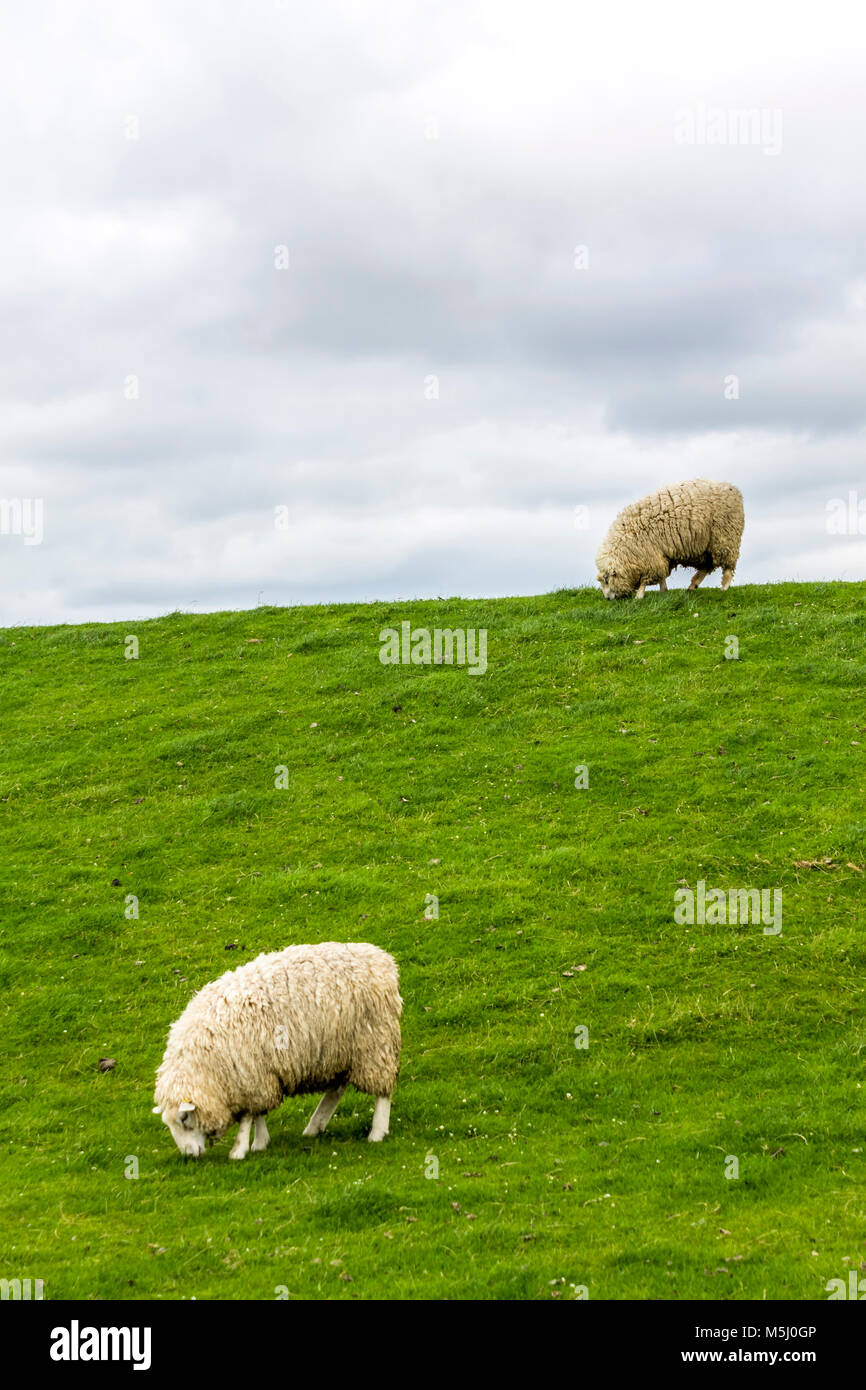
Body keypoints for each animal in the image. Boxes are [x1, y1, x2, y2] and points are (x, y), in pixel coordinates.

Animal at [152, 939, 403, 1156]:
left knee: (382, 1091)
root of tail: (383, 961)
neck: (205, 1067)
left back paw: (377, 1132)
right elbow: (258, 1114)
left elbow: (249, 1115)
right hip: (338, 1051)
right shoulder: (255, 1076)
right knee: (336, 1089)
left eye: (184, 1120)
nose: (189, 1155)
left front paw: (243, 1148)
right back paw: (314, 1127)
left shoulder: (251, 1075)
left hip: (374, 1043)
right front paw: (259, 1143)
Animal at [594, 478, 745, 597]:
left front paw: (639, 596)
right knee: (707, 566)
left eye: (607, 580)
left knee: (728, 567)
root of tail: (736, 491)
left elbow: (647, 578)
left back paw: (724, 587)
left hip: (726, 537)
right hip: (707, 548)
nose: (608, 599)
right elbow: (662, 573)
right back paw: (692, 586)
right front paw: (663, 590)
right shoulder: (660, 555)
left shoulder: (650, 557)